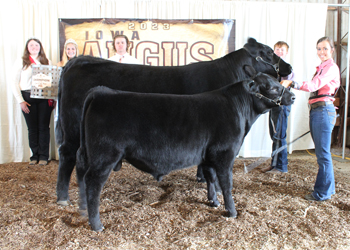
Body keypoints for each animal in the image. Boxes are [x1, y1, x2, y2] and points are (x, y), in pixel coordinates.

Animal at [56, 37, 294, 205]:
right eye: (270, 52)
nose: (290, 67)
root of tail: (79, 60)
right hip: (73, 127)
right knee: (67, 154)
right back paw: (62, 197)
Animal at [76, 70, 296, 230]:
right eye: (273, 88)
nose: (293, 97)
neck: (238, 109)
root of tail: (102, 92)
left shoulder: (208, 156)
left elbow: (211, 179)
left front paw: (213, 201)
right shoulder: (224, 154)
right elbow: (226, 184)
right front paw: (232, 211)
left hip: (90, 153)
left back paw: (83, 209)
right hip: (105, 156)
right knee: (93, 183)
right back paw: (96, 224)